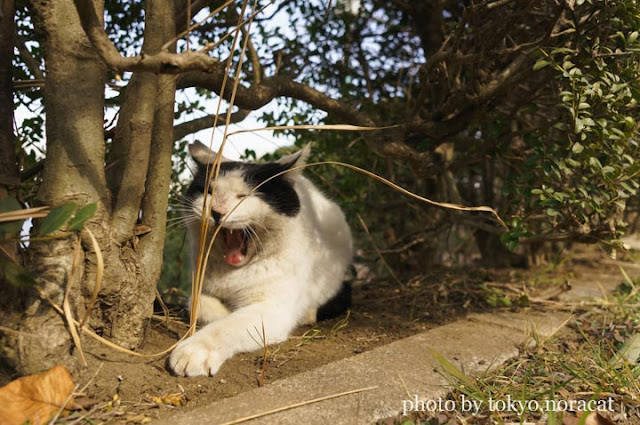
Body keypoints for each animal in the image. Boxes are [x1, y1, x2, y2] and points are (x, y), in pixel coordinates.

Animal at [168, 141, 352, 376]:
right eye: (208, 192)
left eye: (243, 196)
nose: (217, 211)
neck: (231, 274)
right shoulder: (200, 287)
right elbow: (198, 304)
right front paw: (222, 311)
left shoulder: (272, 309)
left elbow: (228, 325)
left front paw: (194, 351)